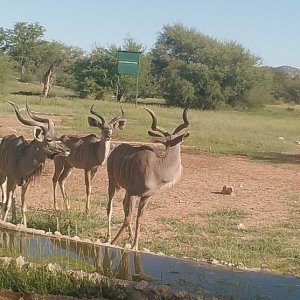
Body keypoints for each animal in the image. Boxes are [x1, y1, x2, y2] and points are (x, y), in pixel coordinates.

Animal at [106, 106, 190, 250]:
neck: (157, 167)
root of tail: (114, 150)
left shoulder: (146, 196)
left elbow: (139, 219)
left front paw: (135, 246)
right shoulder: (133, 193)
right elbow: (128, 218)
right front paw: (113, 242)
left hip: (125, 190)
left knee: (123, 205)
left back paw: (128, 236)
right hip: (113, 182)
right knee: (110, 207)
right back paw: (108, 237)